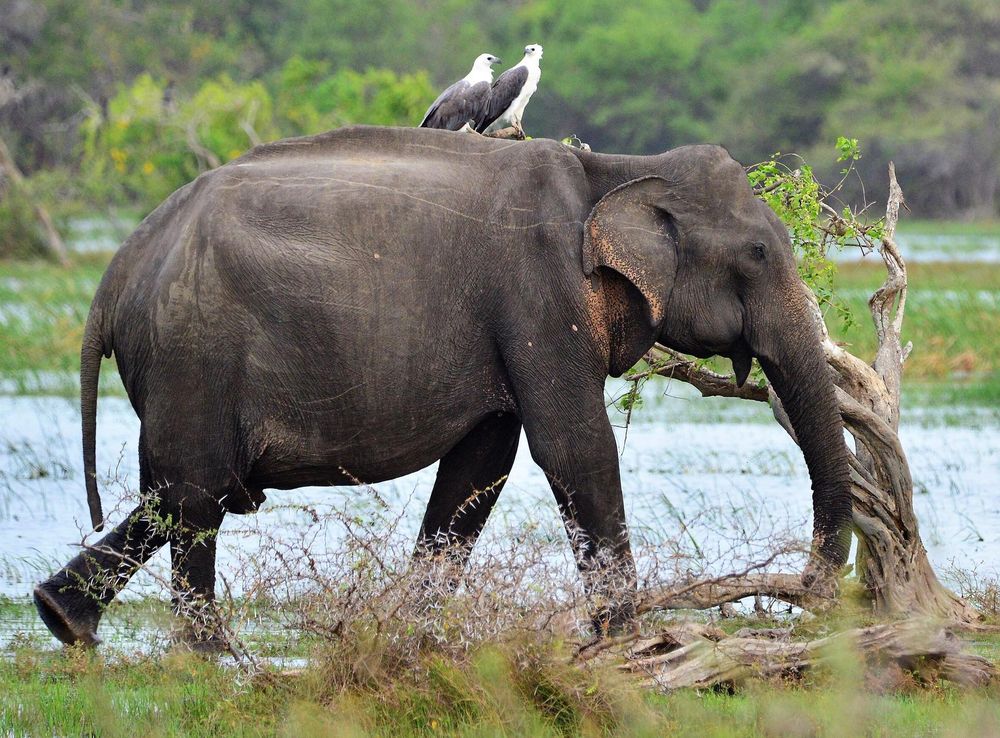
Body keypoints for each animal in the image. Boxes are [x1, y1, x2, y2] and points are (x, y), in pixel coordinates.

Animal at [33, 125, 852, 648]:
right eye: (758, 253)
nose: (809, 592)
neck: (618, 171)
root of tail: (116, 270)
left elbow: (480, 466)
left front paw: (412, 635)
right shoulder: (538, 292)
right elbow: (573, 449)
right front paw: (632, 643)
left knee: (180, 494)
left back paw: (61, 620)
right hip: (193, 350)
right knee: (197, 495)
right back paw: (211, 661)